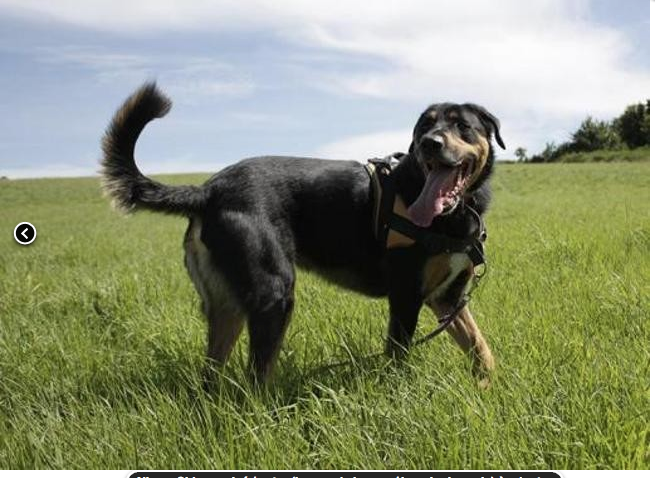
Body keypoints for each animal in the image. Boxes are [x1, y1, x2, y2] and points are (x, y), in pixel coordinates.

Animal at [100, 83, 504, 388]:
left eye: (461, 125)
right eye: (424, 127)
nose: (429, 144)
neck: (453, 212)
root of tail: (207, 191)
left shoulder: (447, 299)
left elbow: (481, 349)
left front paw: (486, 388)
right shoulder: (406, 297)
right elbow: (398, 359)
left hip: (227, 304)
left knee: (211, 375)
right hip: (275, 293)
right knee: (257, 376)